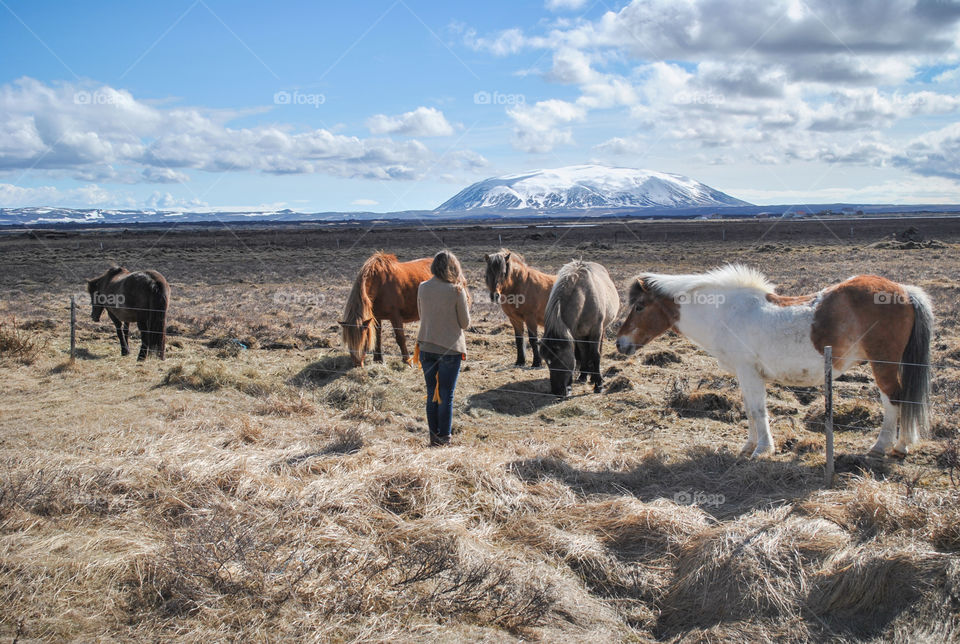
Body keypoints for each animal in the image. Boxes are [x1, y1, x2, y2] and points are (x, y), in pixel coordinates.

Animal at [536, 260, 620, 398]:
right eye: (547, 363)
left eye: (560, 359)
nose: (557, 391)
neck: (584, 296)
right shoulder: (577, 335)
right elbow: (584, 352)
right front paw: (583, 376)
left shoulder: (596, 331)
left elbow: (595, 355)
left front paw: (599, 385)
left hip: (601, 330)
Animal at [620, 264, 932, 460]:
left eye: (639, 306)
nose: (620, 343)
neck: (725, 312)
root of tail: (904, 290)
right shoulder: (745, 375)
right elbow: (749, 410)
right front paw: (748, 447)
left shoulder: (749, 372)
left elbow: (759, 411)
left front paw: (762, 450)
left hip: (883, 364)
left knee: (894, 400)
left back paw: (889, 447)